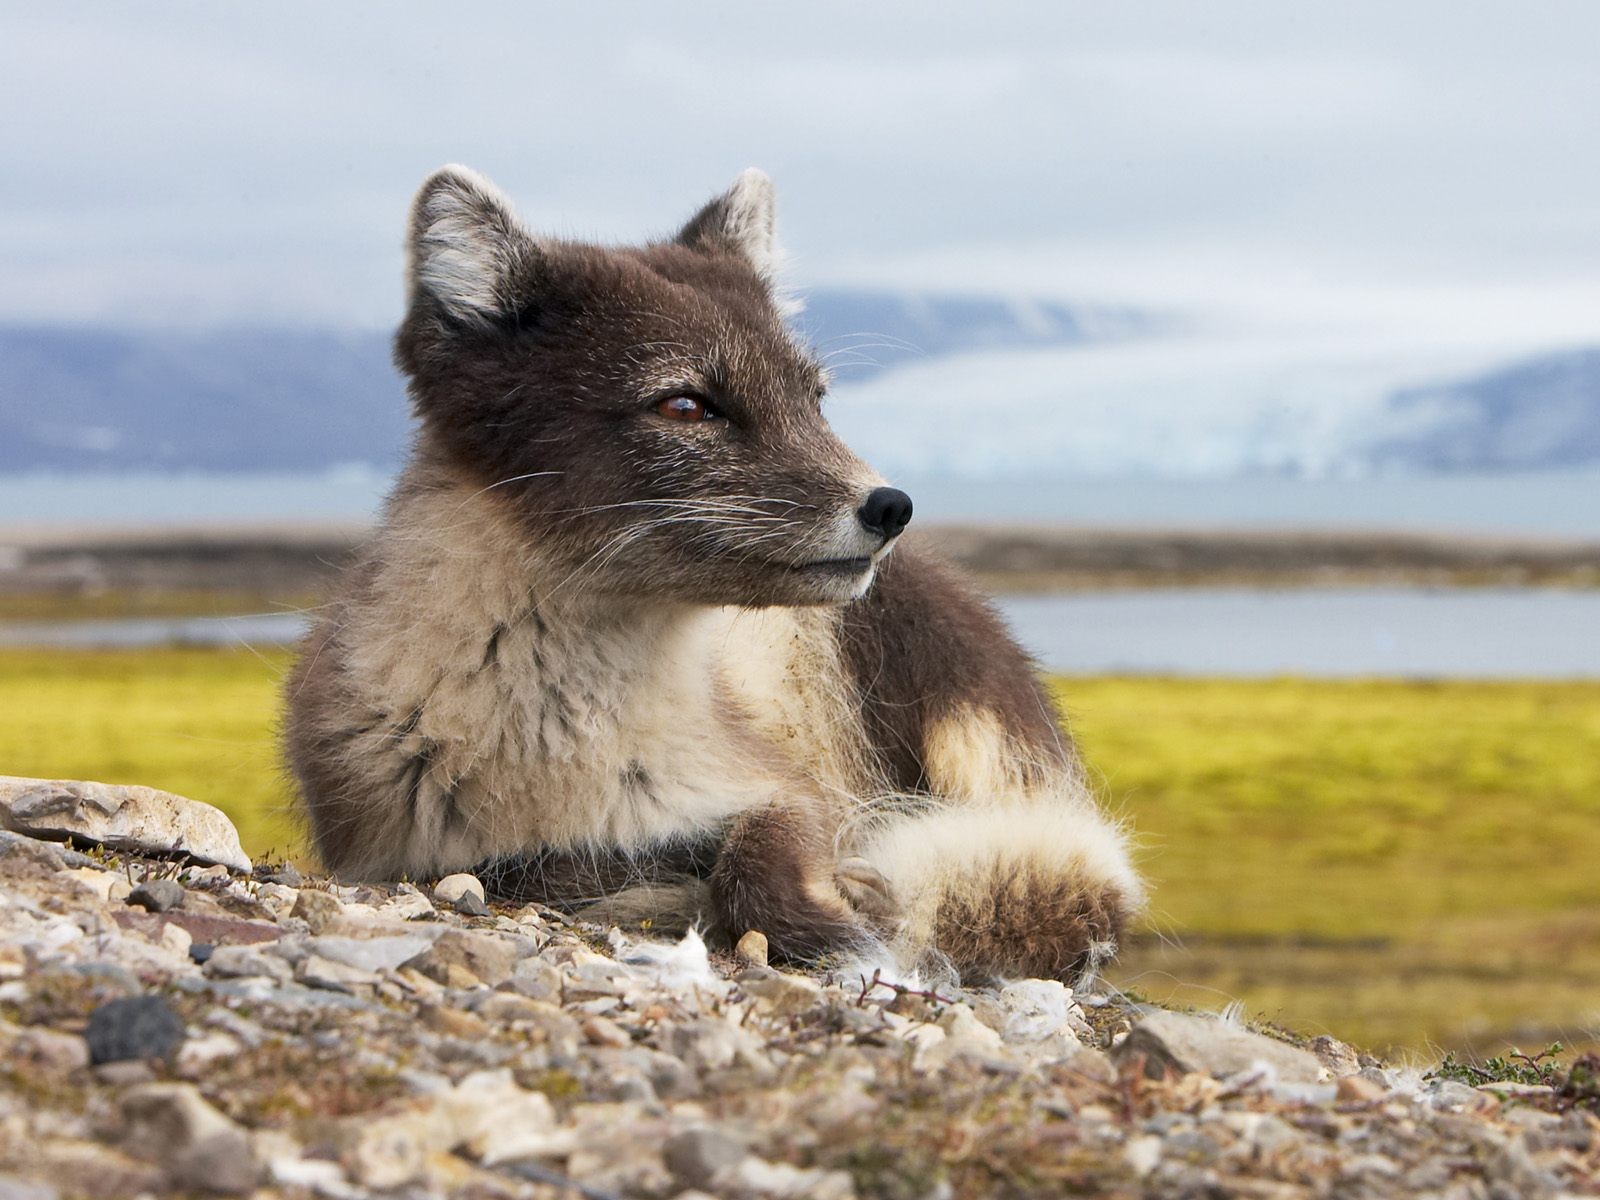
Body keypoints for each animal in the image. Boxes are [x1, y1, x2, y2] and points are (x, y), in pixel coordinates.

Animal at [284, 164, 1139, 979]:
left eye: (814, 398)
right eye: (686, 405)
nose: (891, 507)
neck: (565, 747)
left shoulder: (785, 788)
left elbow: (762, 857)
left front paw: (836, 919)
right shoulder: (404, 850)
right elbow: (531, 869)